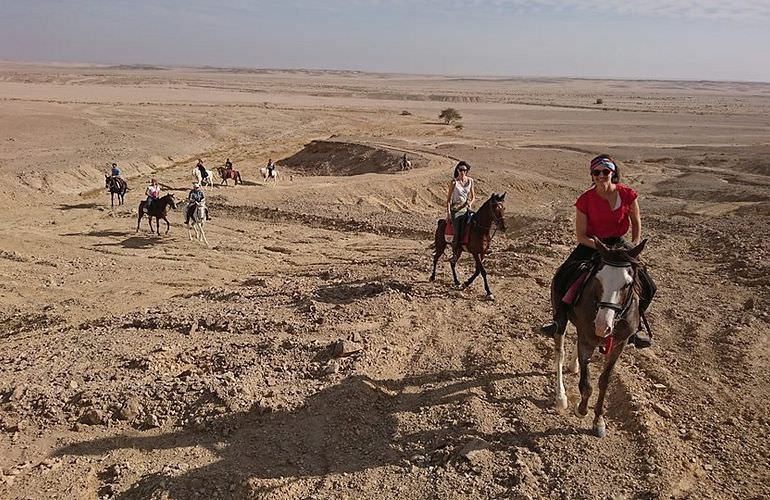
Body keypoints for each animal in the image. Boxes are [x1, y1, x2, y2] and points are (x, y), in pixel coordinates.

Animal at [552, 238, 648, 438]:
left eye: (627, 284)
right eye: (598, 279)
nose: (603, 326)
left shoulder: (618, 345)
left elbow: (605, 381)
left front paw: (599, 420)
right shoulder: (587, 340)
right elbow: (586, 384)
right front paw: (581, 409)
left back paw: (574, 365)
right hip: (561, 319)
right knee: (560, 352)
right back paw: (561, 397)